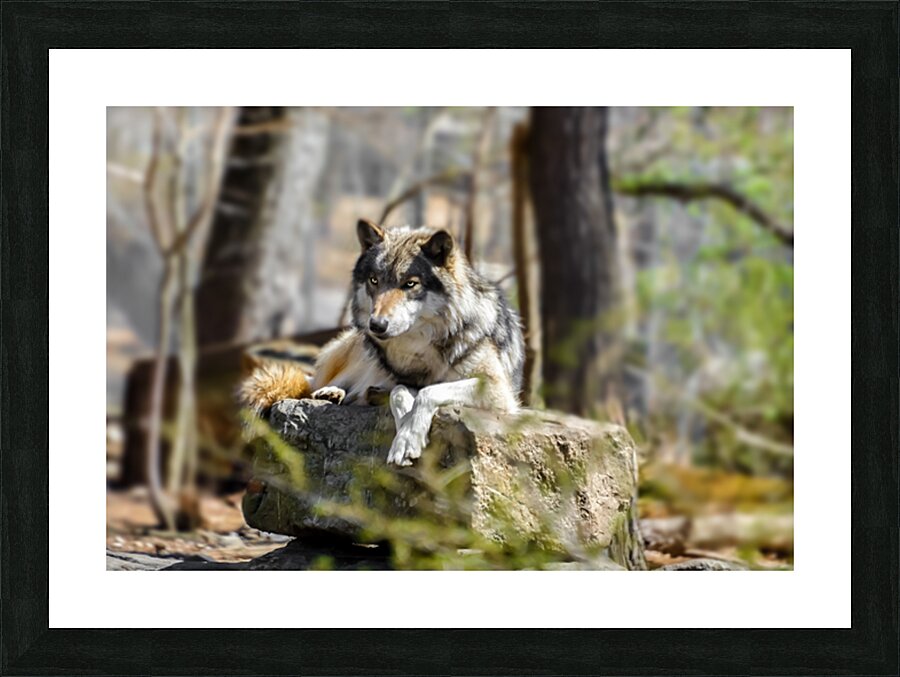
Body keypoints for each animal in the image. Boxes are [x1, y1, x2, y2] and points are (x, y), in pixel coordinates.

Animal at [239, 219, 525, 466]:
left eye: (410, 284)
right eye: (374, 280)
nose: (376, 325)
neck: (421, 345)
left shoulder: (498, 391)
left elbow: (429, 391)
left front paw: (408, 434)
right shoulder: (397, 378)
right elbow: (400, 393)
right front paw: (405, 433)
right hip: (359, 354)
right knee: (316, 383)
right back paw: (331, 392)